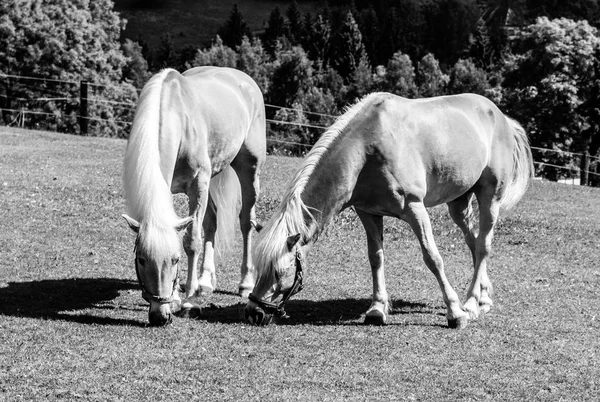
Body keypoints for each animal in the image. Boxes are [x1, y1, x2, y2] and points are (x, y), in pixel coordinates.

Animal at [123, 66, 266, 326]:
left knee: (246, 222)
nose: (160, 316)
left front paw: (189, 302)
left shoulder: (198, 184)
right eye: (141, 259)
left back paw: (245, 283)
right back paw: (205, 281)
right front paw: (178, 297)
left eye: (175, 260)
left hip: (249, 170)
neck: (177, 119)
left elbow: (191, 242)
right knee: (211, 222)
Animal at [245, 92, 536, 328]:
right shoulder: (368, 213)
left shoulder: (415, 209)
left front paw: (455, 313)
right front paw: (377, 309)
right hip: (458, 204)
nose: (254, 313)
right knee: (474, 242)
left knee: (484, 245)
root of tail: (500, 116)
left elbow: (432, 258)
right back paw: (483, 297)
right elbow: (376, 258)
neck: (367, 148)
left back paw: (472, 303)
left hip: (489, 197)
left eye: (280, 272)